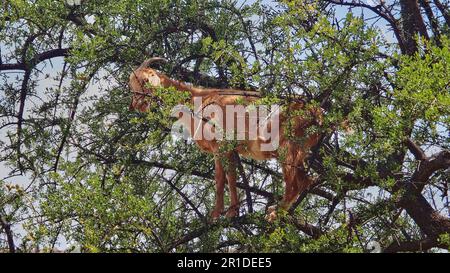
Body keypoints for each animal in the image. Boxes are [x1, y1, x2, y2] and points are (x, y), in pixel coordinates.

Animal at [128, 56, 322, 219]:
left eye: (146, 79)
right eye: (132, 85)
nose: (139, 104)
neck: (200, 99)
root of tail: (318, 113)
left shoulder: (220, 146)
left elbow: (221, 179)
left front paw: (217, 214)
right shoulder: (227, 150)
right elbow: (230, 178)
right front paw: (230, 212)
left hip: (287, 147)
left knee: (295, 184)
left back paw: (274, 213)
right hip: (299, 151)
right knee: (305, 181)